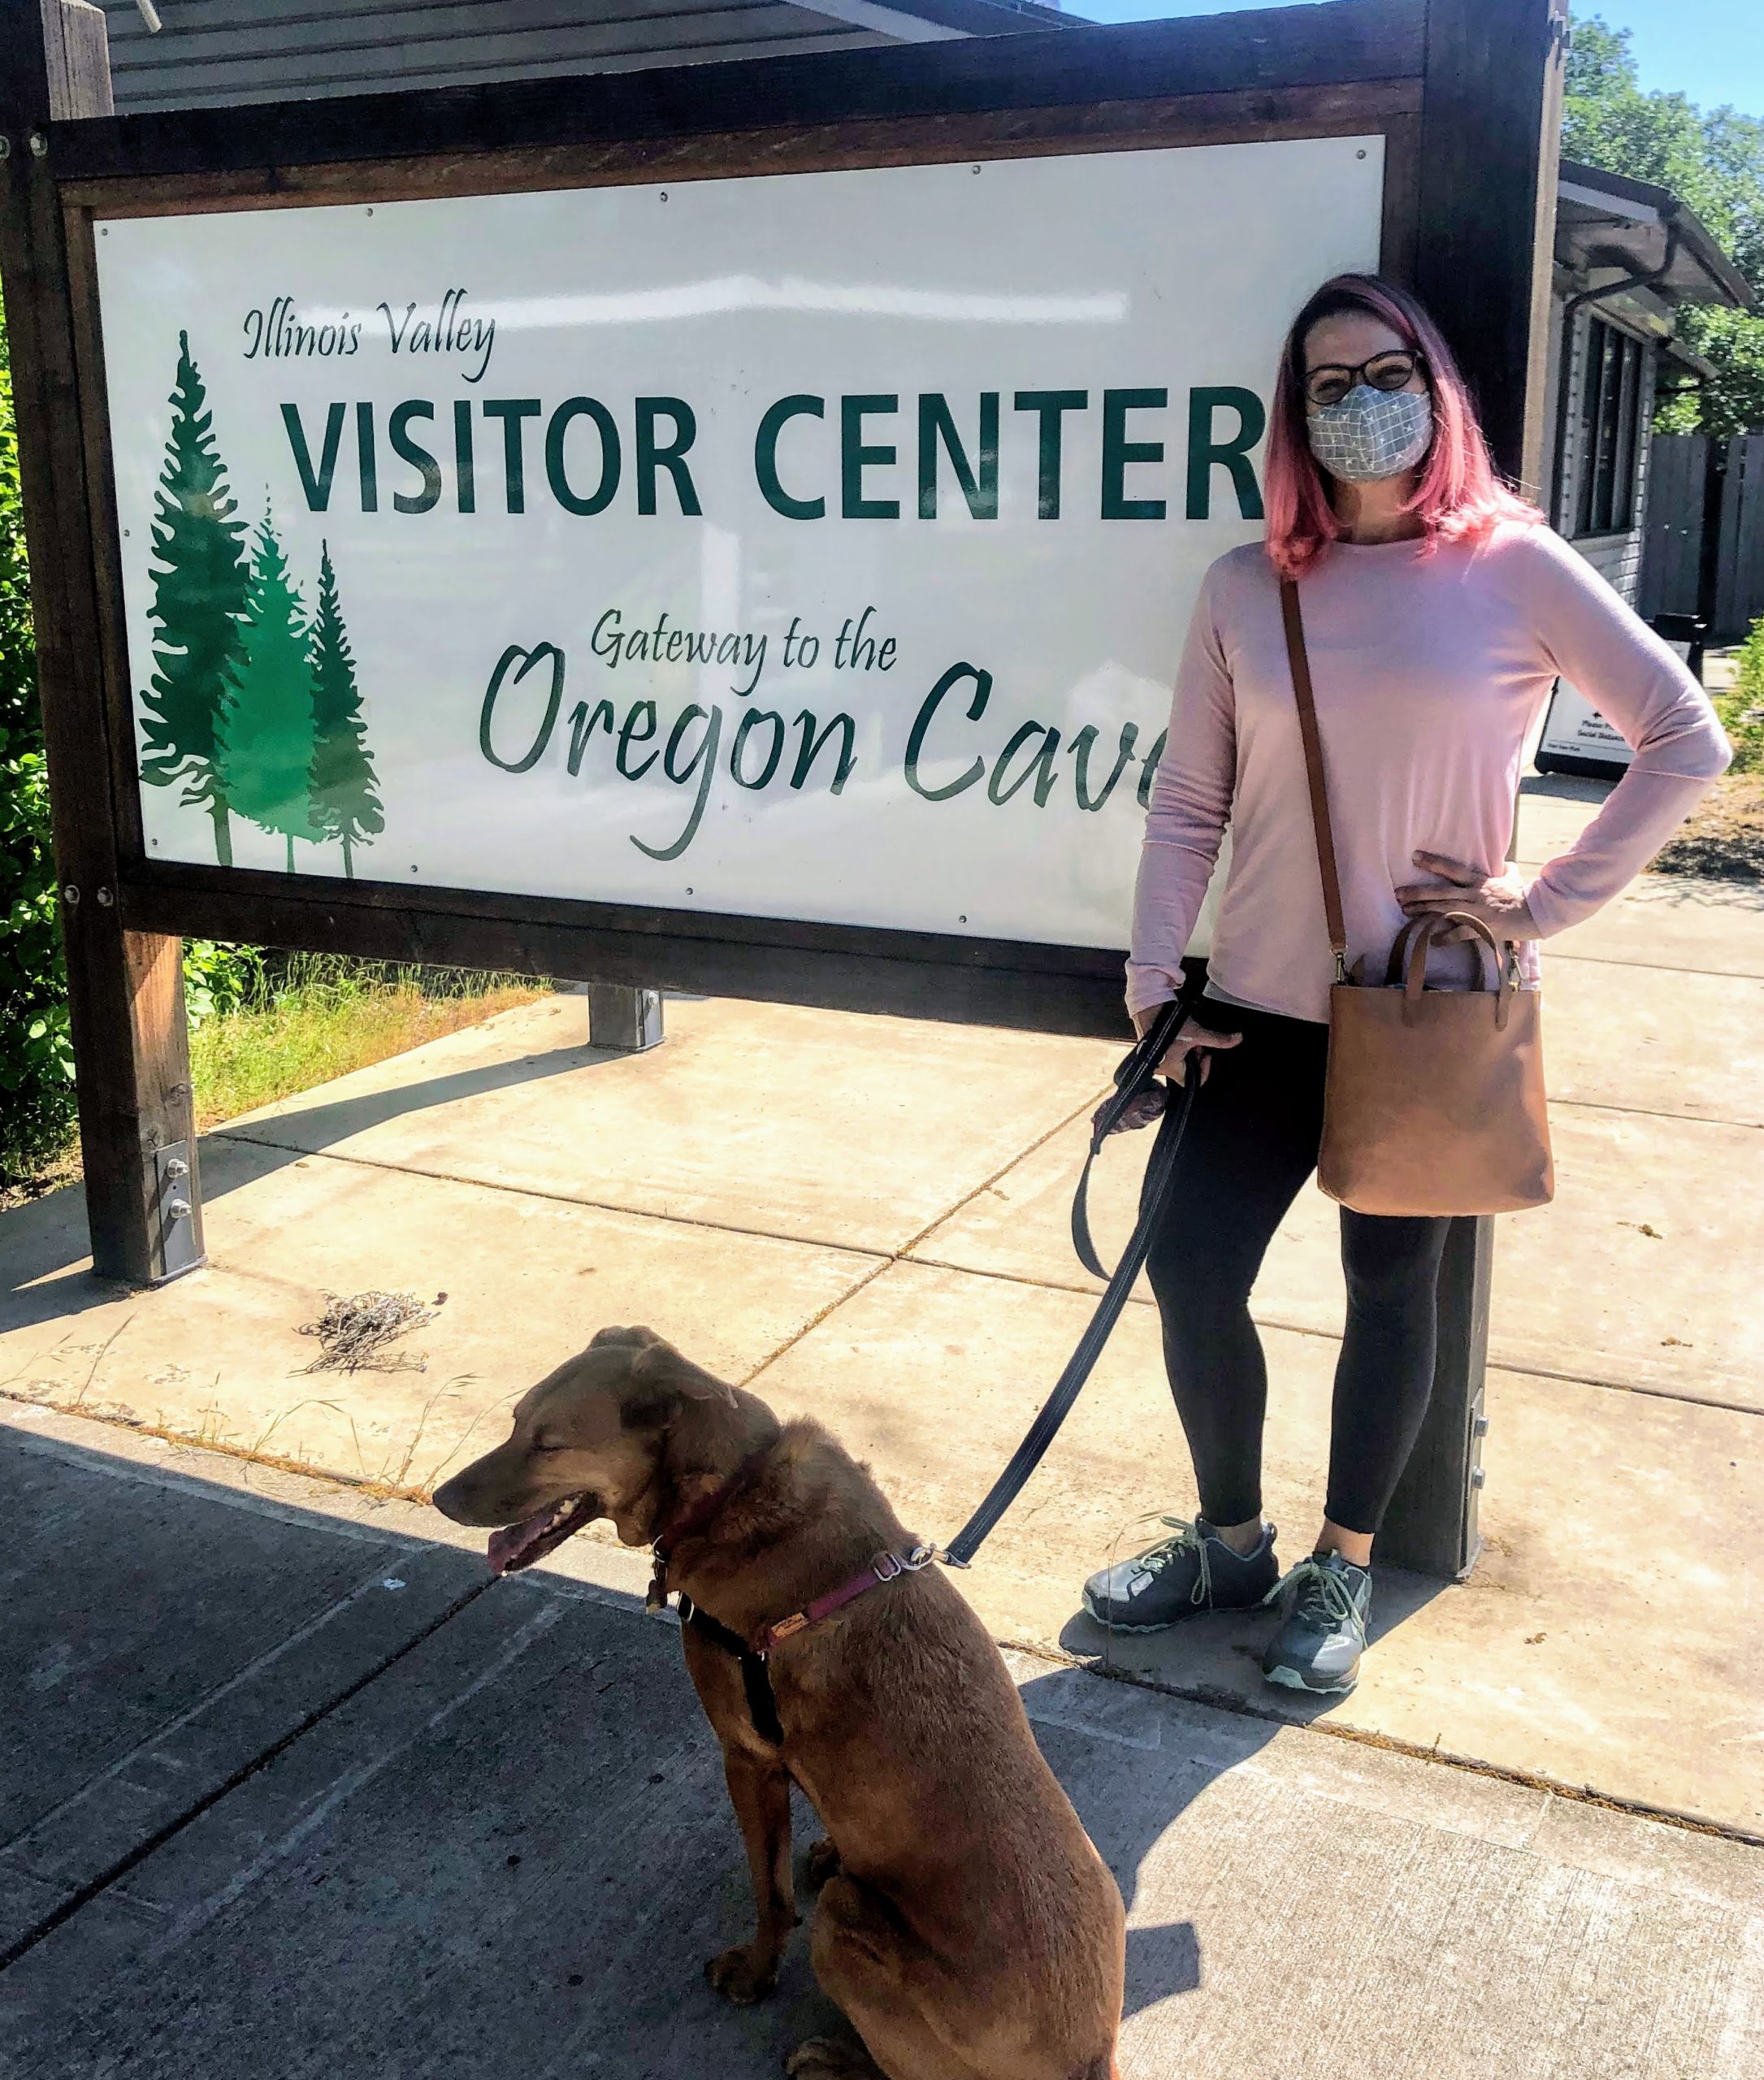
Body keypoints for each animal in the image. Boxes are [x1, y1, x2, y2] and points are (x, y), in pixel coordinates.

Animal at [430, 1331, 1115, 2080]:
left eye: (549, 1444)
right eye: (515, 1420)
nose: (440, 1496)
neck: (733, 1488)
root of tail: (1091, 2060)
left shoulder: (746, 1755)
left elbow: (770, 1894)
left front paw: (754, 1974)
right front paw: (826, 1852)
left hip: (845, 1922)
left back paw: (835, 2060)